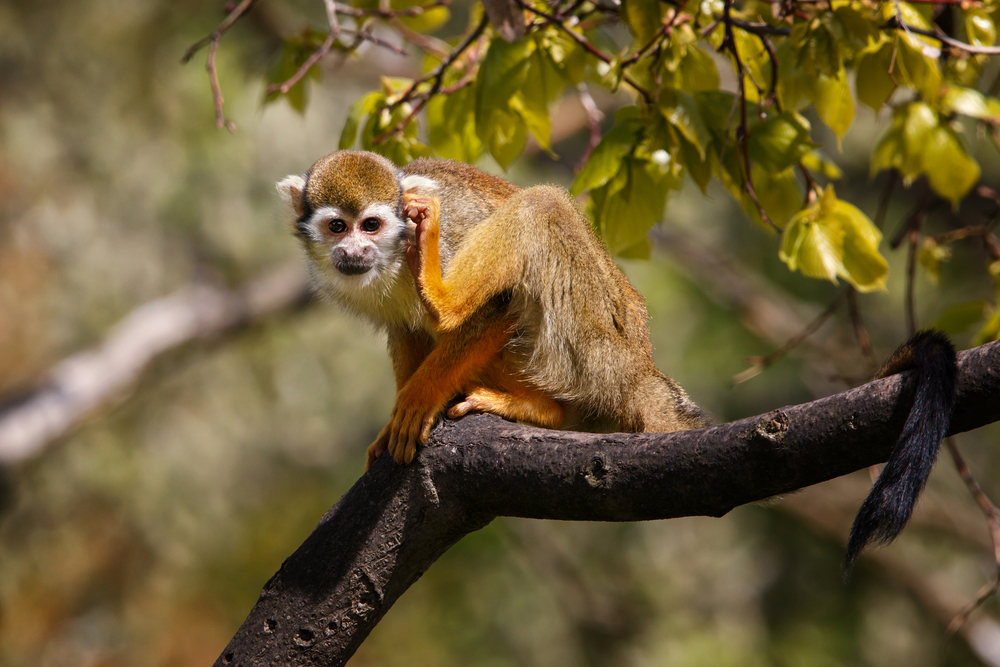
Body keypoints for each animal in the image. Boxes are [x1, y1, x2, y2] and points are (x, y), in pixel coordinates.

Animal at [278, 152, 708, 472]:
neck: (393, 253)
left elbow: (500, 306)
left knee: (541, 206)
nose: (354, 251)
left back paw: (446, 304)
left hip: (591, 345)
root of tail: (640, 368)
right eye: (337, 227)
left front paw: (422, 394)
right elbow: (404, 328)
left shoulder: (446, 237)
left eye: (370, 225)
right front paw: (393, 422)